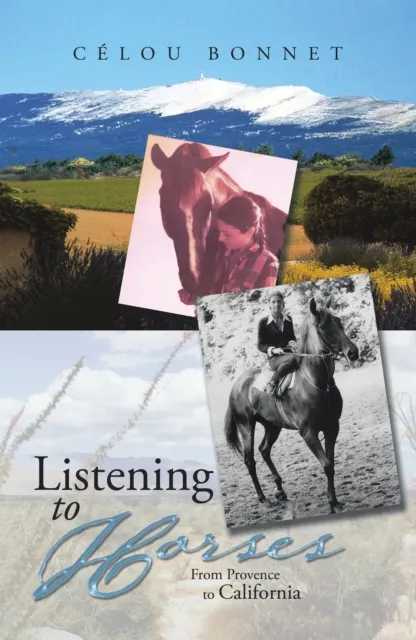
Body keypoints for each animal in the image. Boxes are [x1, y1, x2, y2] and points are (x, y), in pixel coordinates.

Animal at [224, 297, 359, 515]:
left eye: (339, 322)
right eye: (323, 327)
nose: (353, 352)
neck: (317, 384)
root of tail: (237, 384)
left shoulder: (332, 427)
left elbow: (331, 464)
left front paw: (335, 501)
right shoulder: (308, 433)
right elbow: (326, 465)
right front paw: (332, 502)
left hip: (272, 426)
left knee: (264, 450)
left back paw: (280, 491)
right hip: (246, 427)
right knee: (250, 460)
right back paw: (263, 499)